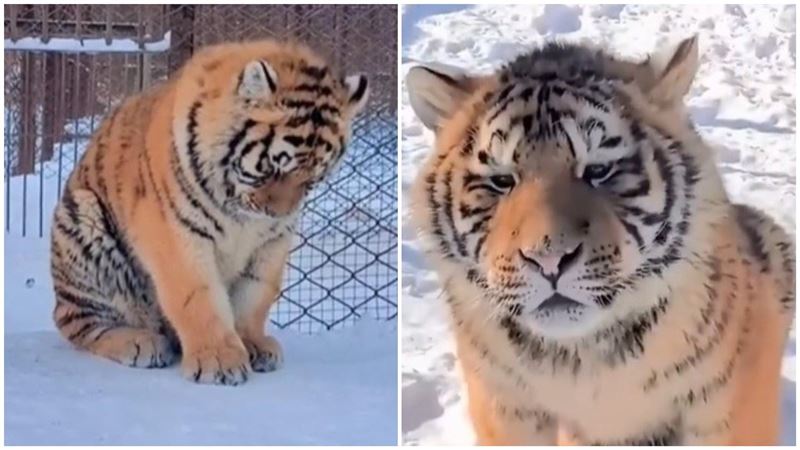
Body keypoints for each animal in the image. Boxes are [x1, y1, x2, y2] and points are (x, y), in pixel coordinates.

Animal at [50, 39, 369, 385]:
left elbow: (255, 294)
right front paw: (219, 361)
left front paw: (253, 344)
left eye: (312, 179)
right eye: (272, 168)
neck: (243, 215)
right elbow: (198, 297)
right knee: (78, 322)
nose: (277, 213)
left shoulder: (272, 242)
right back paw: (140, 342)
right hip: (82, 218)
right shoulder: (176, 233)